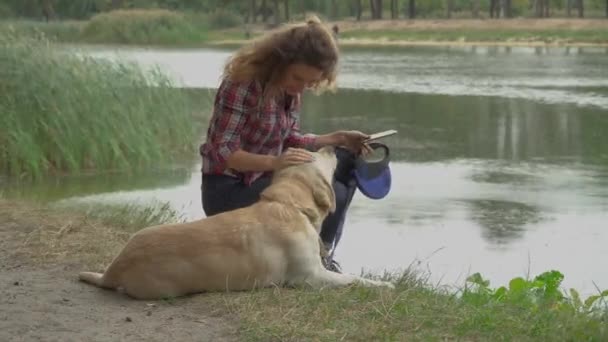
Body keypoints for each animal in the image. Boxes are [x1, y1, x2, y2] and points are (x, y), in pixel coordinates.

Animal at [79, 146, 394, 298]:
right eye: (314, 156)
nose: (331, 147)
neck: (288, 204)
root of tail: (115, 268)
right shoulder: (311, 277)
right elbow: (353, 278)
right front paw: (383, 285)